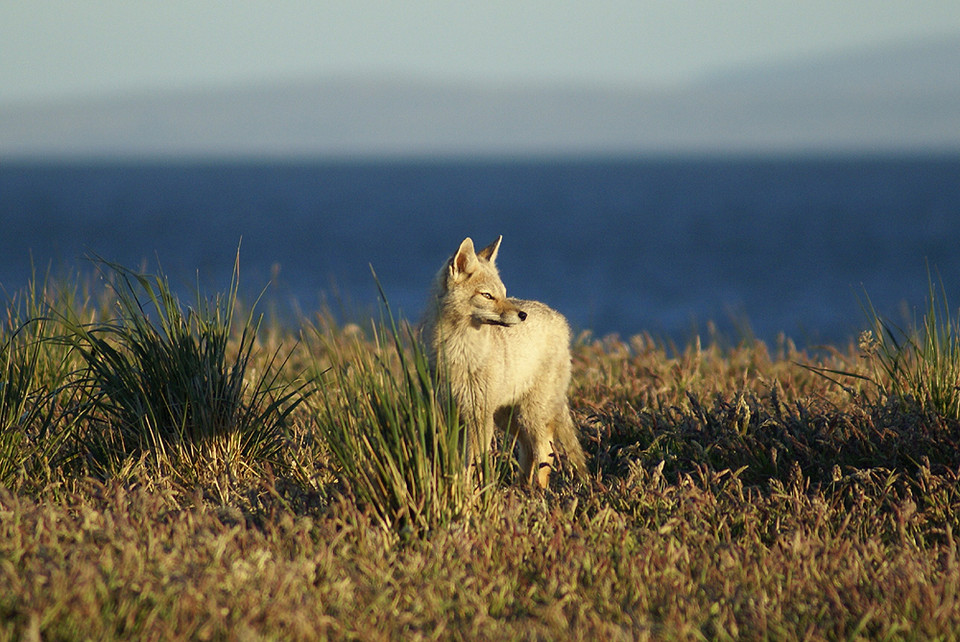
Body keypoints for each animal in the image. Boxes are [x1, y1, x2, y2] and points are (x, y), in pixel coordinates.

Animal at [420, 235, 584, 484]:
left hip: (528, 416)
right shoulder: (451, 415)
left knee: (545, 451)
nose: (522, 316)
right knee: (528, 451)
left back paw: (538, 491)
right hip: (507, 418)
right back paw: (521, 488)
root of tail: (559, 318)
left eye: (504, 293)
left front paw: (472, 491)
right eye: (488, 295)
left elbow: (474, 464)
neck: (459, 354)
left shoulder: (478, 417)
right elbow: (457, 464)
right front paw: (457, 488)